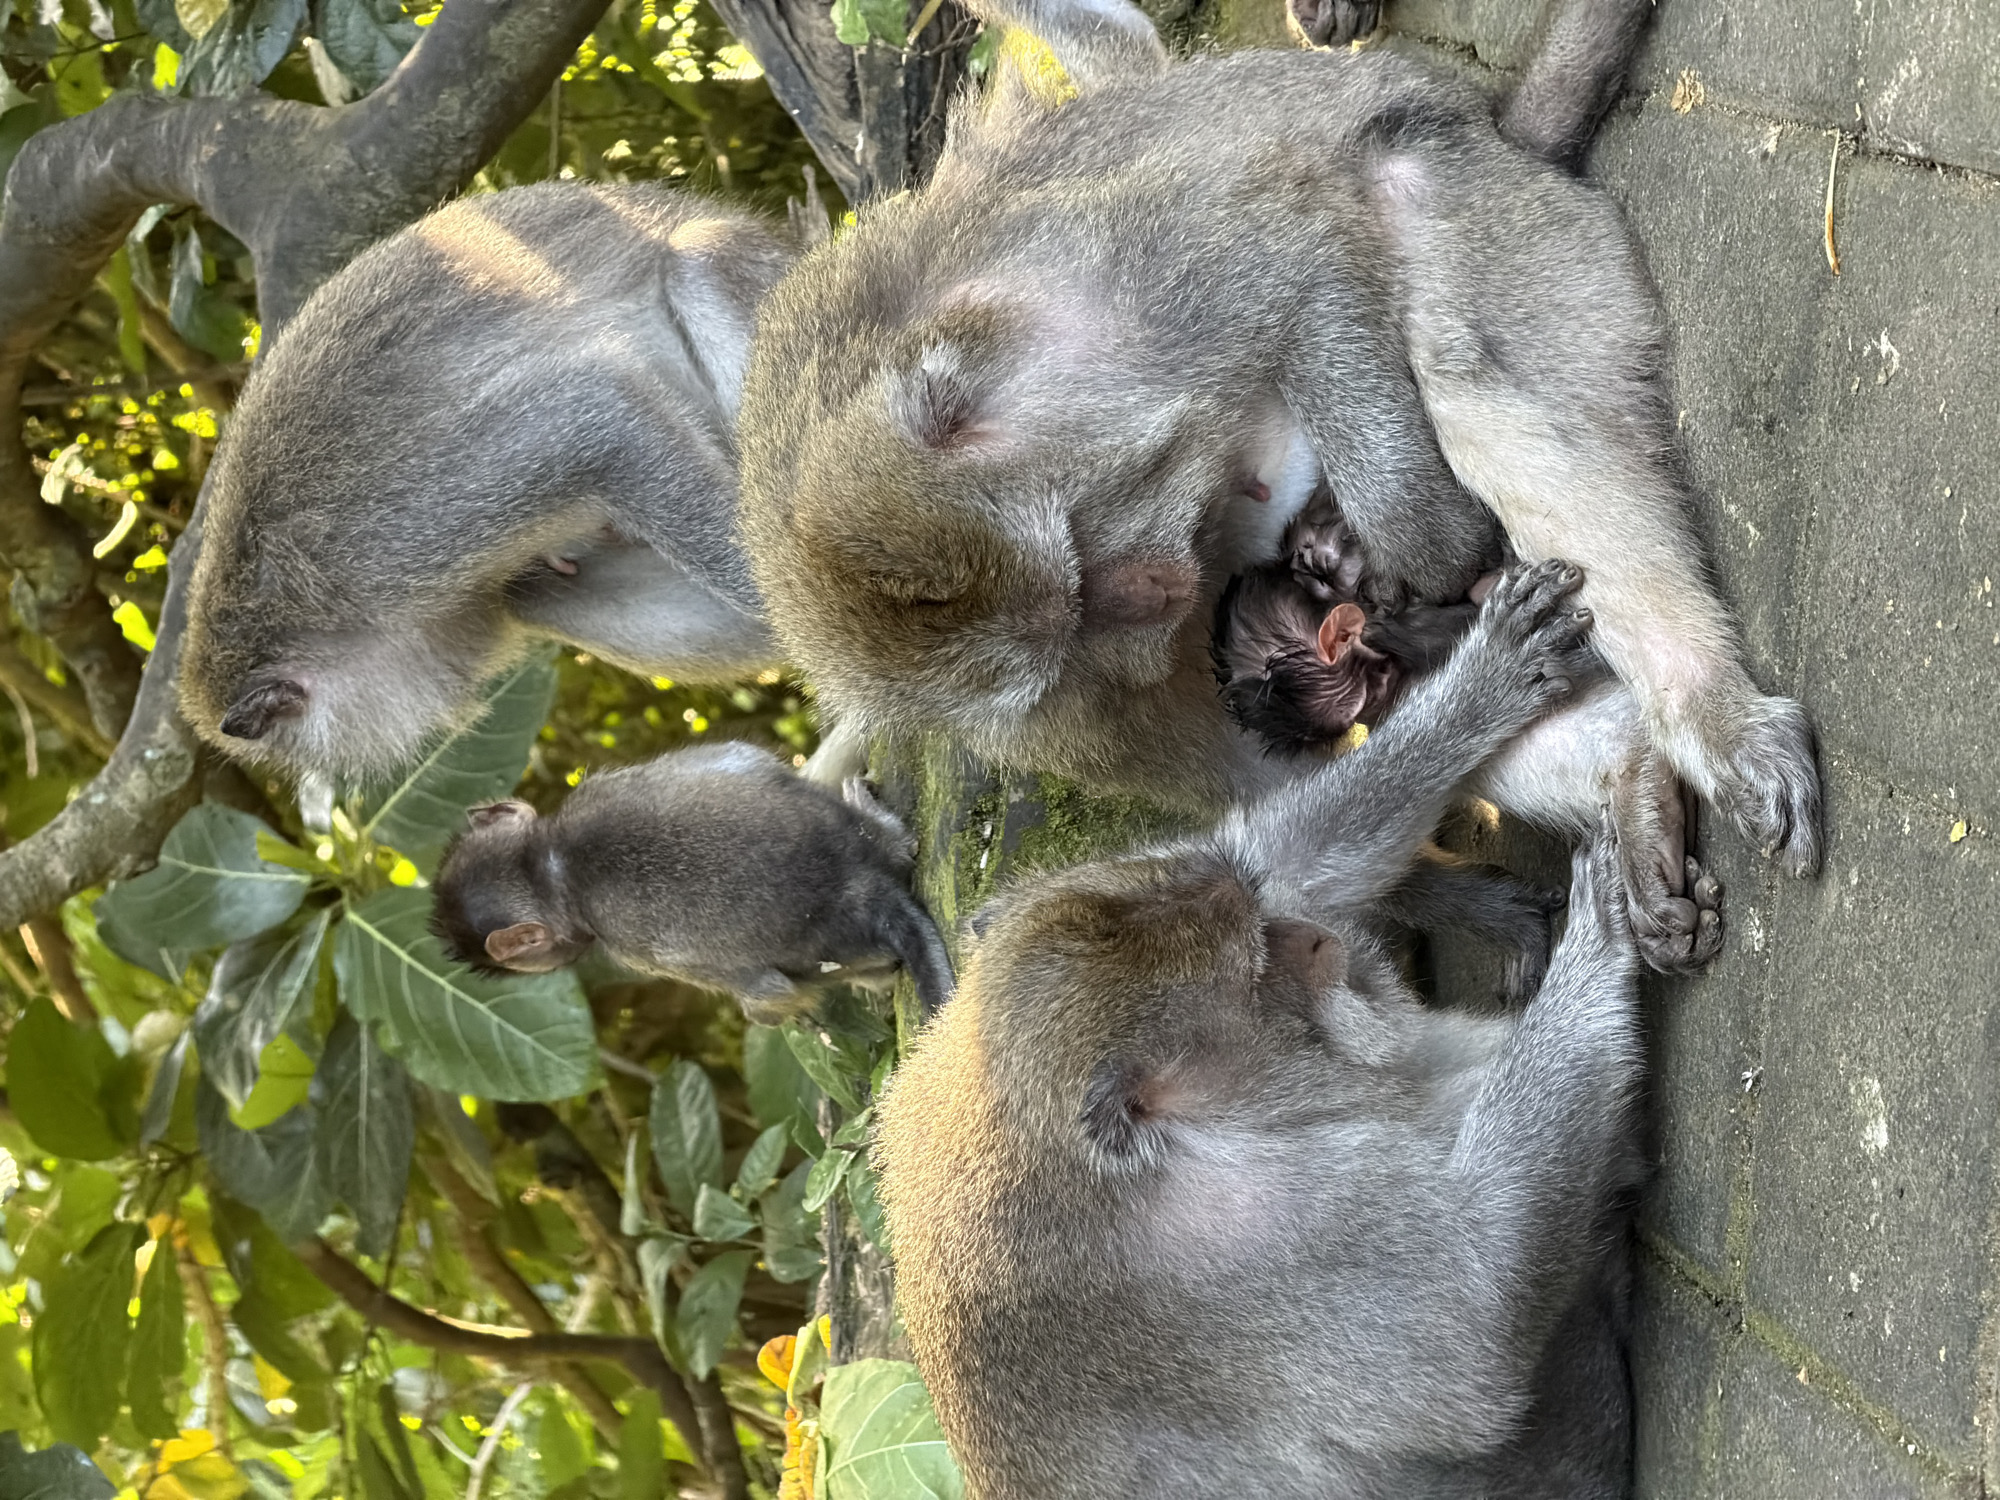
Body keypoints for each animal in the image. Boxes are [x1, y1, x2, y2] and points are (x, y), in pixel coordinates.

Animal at [428, 742, 954, 1023]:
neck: (551, 869)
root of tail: (855, 878)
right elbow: (741, 758)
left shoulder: (631, 949)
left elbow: (771, 996)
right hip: (872, 841)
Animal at [734, 0, 1820, 931]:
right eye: (1075, 634)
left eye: (1081, 568)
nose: (1160, 589)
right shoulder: (1055, 715)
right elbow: (1259, 783)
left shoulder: (1102, 284)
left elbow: (1293, 251)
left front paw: (1424, 548)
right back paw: (1628, 783)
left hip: (1503, 215)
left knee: (1453, 355)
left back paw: (1700, 709)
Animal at [874, 560, 1697, 1498]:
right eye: (1265, 967)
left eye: (1261, 920)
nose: (1314, 939)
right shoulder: (1237, 1247)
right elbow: (1469, 1314)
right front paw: (1602, 929)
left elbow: (1290, 851)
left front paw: (1486, 682)